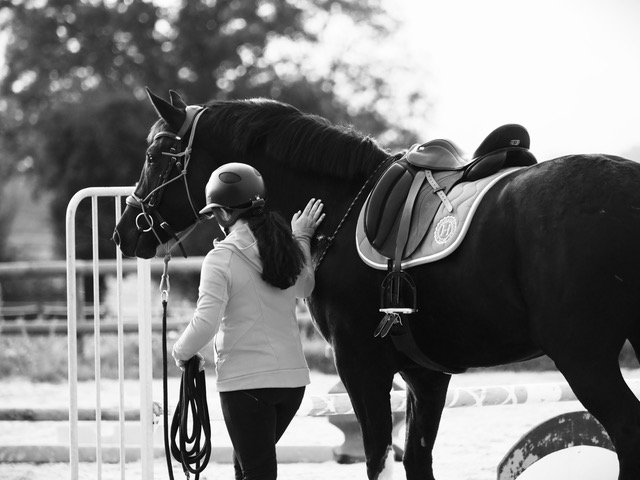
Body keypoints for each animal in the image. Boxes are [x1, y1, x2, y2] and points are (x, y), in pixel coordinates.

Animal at [113, 89, 640, 480]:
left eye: (156, 154)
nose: (124, 233)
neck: (342, 205)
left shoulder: (361, 366)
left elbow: (377, 460)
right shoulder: (425, 375)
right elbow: (418, 461)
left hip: (583, 358)